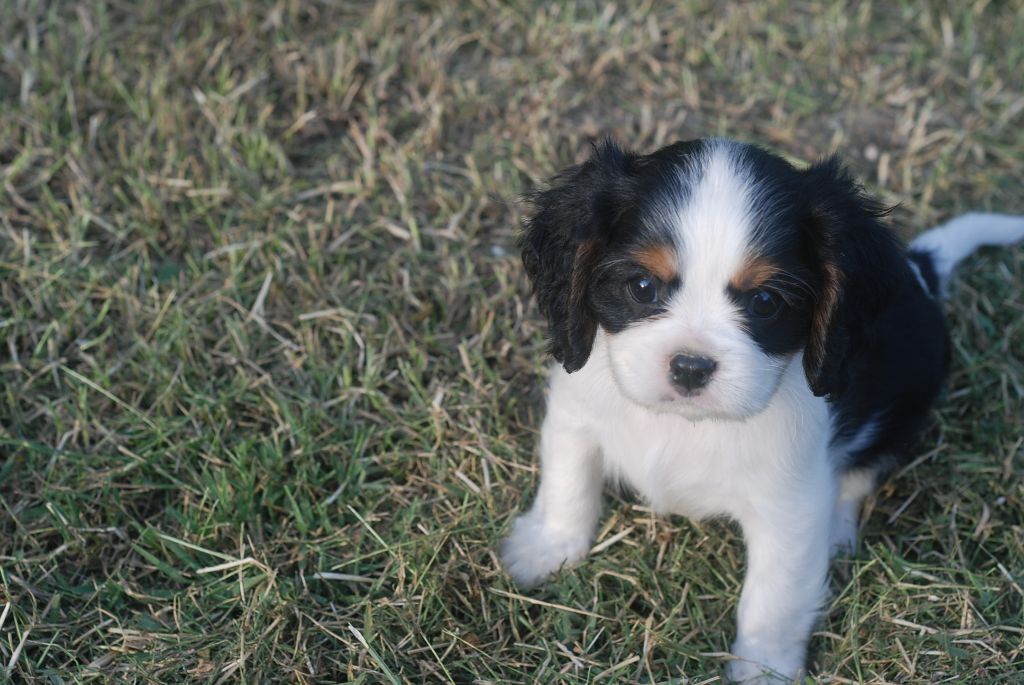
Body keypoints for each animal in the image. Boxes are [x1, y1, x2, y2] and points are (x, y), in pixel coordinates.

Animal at [499, 138, 1024, 682]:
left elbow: (775, 598)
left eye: (766, 302)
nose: (690, 366)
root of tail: (919, 273)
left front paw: (763, 666)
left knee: (859, 473)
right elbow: (568, 482)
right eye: (642, 287)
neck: (685, 425)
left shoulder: (790, 508)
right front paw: (546, 549)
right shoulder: (576, 413)